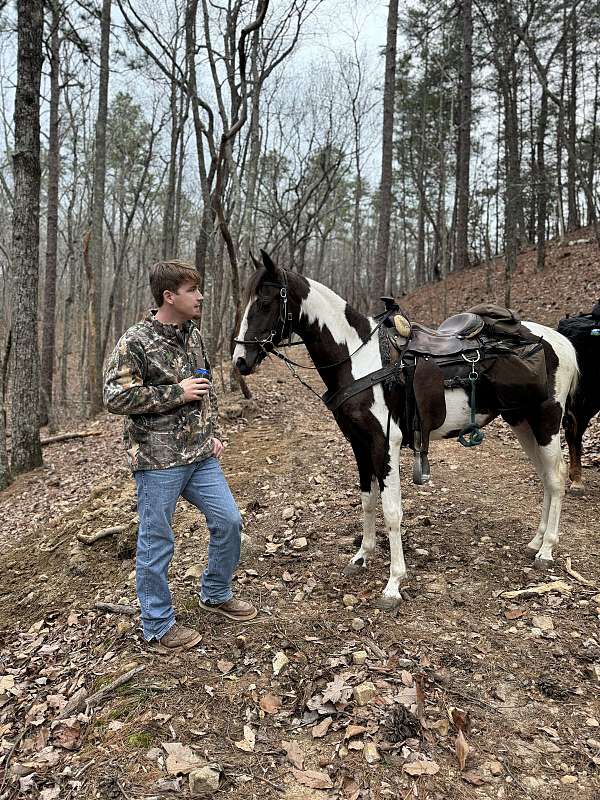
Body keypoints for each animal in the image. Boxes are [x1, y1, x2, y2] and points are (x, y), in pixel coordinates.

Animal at [232, 253, 580, 608]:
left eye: (265, 301)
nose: (240, 361)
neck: (361, 359)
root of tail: (561, 342)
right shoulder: (359, 444)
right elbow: (367, 501)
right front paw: (361, 557)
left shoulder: (385, 443)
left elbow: (391, 511)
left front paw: (393, 583)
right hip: (522, 423)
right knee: (545, 478)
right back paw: (536, 541)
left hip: (546, 421)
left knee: (556, 478)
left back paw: (547, 549)